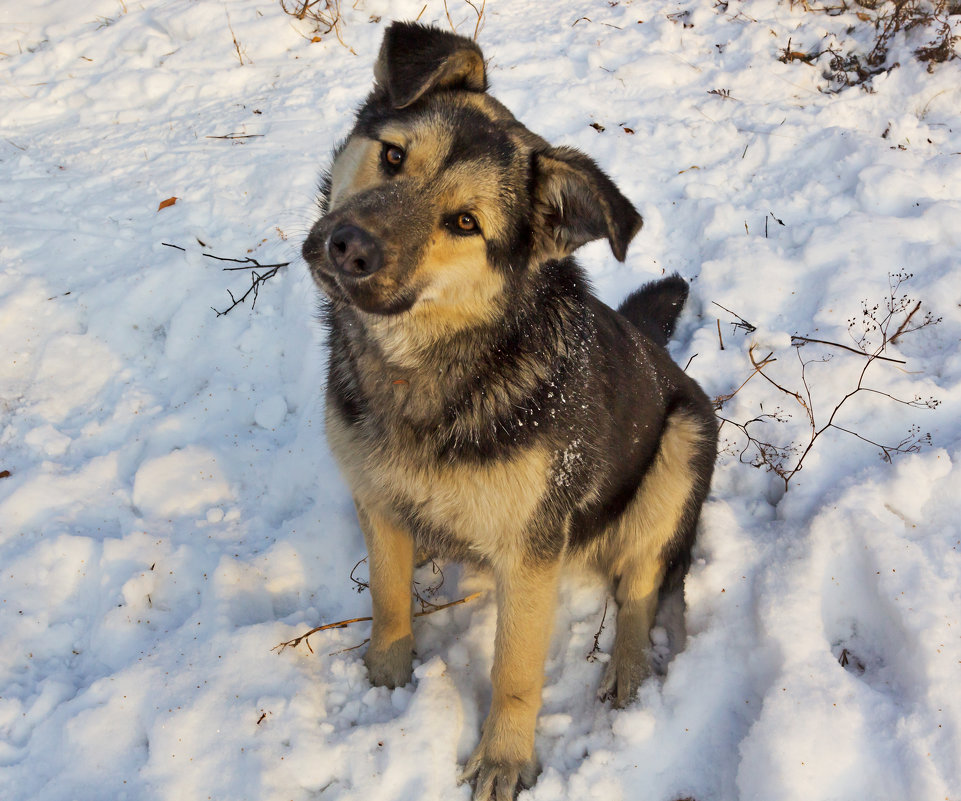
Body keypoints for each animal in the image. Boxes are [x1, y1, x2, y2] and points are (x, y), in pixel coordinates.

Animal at [304, 21, 716, 796]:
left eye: (465, 222)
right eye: (393, 156)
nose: (348, 249)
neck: (428, 367)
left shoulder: (530, 555)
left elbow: (515, 671)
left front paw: (503, 758)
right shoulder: (376, 500)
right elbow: (389, 597)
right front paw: (387, 673)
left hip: (679, 450)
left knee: (643, 587)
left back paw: (627, 668)